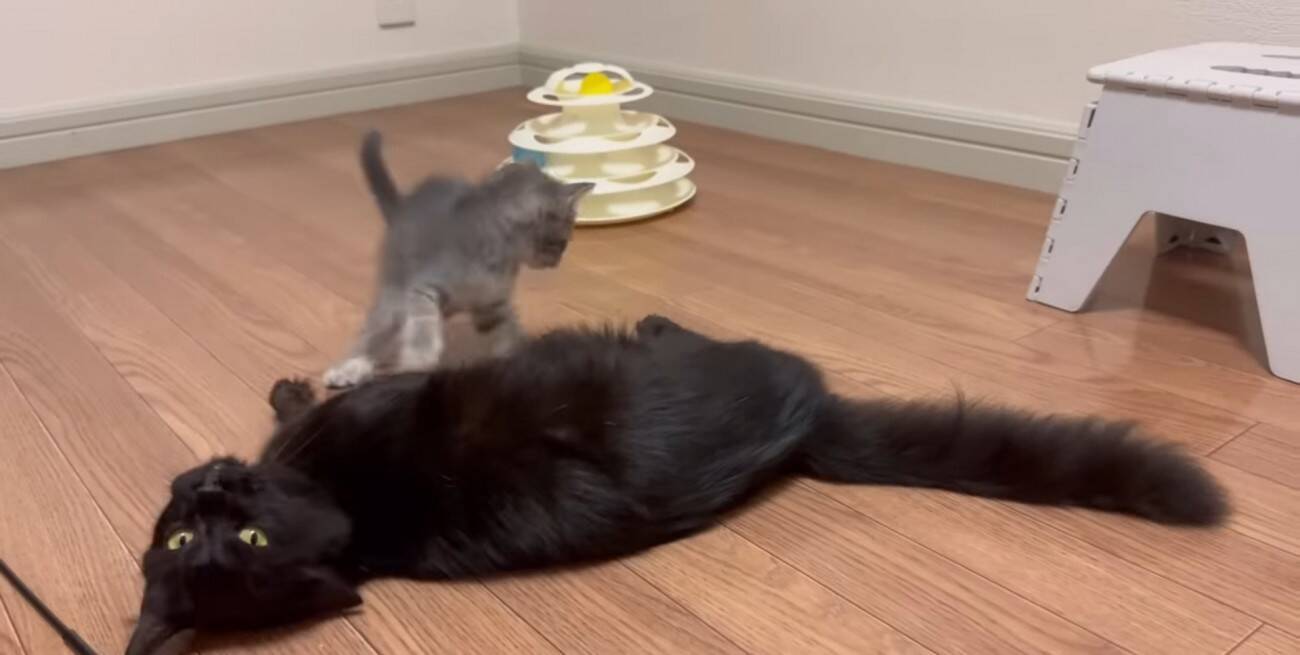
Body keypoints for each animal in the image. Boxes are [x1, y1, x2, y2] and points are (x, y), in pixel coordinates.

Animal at [323, 130, 594, 388]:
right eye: (562, 243)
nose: (557, 262)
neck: (498, 253)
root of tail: (402, 207)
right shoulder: (423, 287)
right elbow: (422, 324)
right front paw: (419, 359)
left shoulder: (492, 304)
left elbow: (505, 331)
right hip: (394, 293)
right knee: (373, 331)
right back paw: (351, 367)